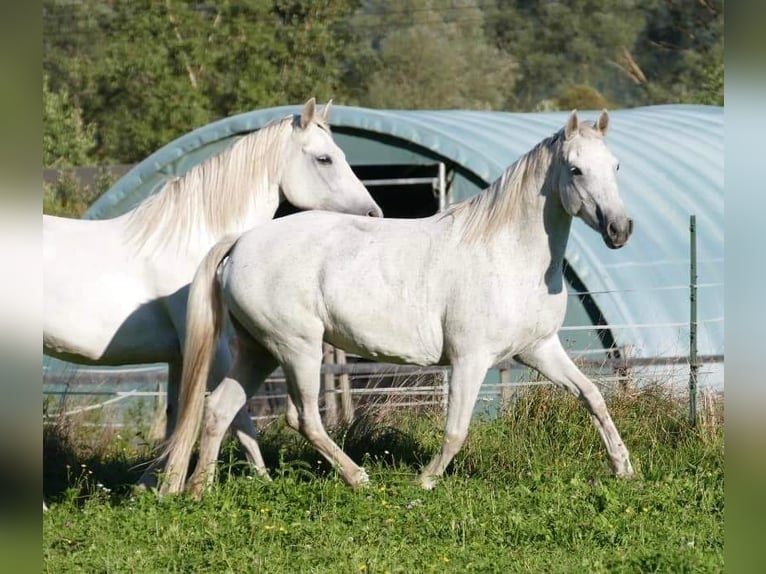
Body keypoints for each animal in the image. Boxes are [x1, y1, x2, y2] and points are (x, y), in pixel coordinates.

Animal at [42, 99, 384, 490]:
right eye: (324, 158)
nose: (374, 213)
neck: (195, 241)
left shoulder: (180, 355)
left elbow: (178, 415)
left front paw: (154, 486)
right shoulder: (215, 346)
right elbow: (236, 415)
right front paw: (259, 481)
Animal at [160, 110, 636, 498]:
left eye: (615, 165)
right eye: (575, 169)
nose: (620, 230)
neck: (508, 252)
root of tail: (241, 240)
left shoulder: (539, 349)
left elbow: (593, 396)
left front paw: (623, 468)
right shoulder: (470, 359)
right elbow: (457, 429)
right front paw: (424, 481)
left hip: (259, 350)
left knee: (219, 409)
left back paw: (199, 489)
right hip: (297, 349)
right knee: (304, 418)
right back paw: (358, 478)